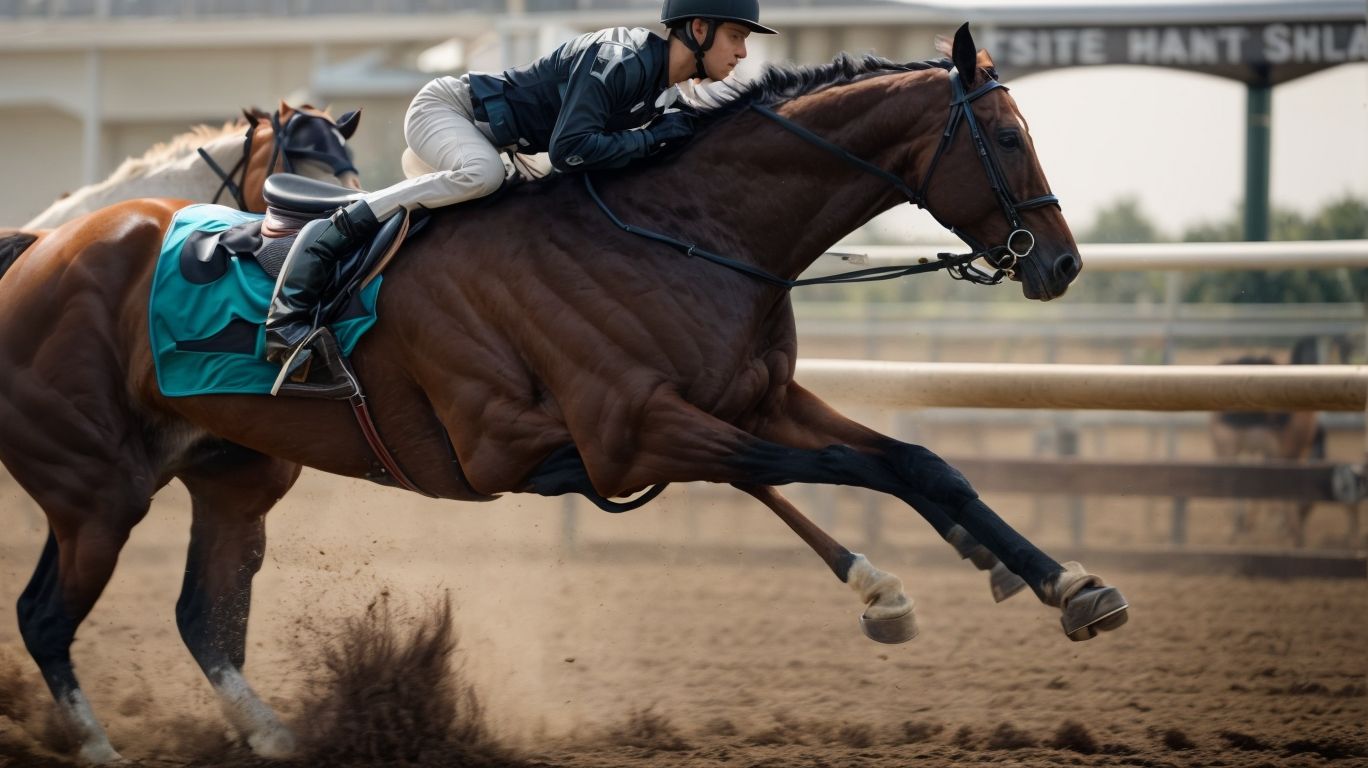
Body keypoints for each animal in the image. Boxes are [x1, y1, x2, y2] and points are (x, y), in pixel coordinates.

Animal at [1211, 335, 1357, 547]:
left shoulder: (1272, 451)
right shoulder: (1290, 450)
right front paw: (1286, 528)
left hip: (1230, 448)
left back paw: (1240, 526)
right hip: (1229, 447)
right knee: (1230, 482)